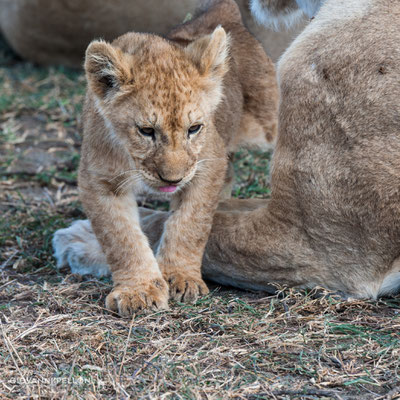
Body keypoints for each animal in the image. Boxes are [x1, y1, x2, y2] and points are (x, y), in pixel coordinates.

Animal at [54, 0, 400, 300]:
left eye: (194, 128)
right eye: (146, 131)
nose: (173, 179)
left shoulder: (326, 250)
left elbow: (186, 225)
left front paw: (81, 240)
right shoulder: (99, 173)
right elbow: (125, 230)